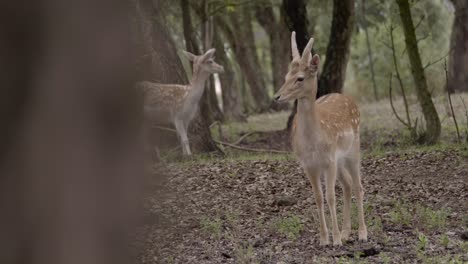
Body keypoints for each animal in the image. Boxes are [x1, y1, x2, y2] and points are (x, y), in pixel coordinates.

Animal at [274, 32, 370, 245]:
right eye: (286, 76)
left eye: (300, 78)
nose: (277, 96)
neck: (313, 143)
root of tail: (348, 98)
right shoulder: (309, 165)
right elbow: (318, 197)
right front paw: (324, 239)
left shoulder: (329, 160)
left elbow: (330, 196)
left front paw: (336, 240)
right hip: (340, 160)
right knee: (347, 185)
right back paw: (346, 232)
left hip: (353, 150)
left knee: (358, 186)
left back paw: (362, 233)